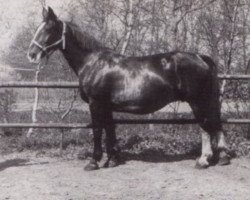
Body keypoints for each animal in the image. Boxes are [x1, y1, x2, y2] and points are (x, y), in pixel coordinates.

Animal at [27, 6, 230, 170]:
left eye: (48, 29)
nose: (31, 54)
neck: (93, 62)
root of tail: (201, 57)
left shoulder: (95, 103)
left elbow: (98, 130)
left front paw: (94, 162)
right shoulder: (106, 106)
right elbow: (110, 129)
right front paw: (113, 159)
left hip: (198, 101)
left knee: (206, 126)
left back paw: (203, 160)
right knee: (214, 124)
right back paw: (222, 157)